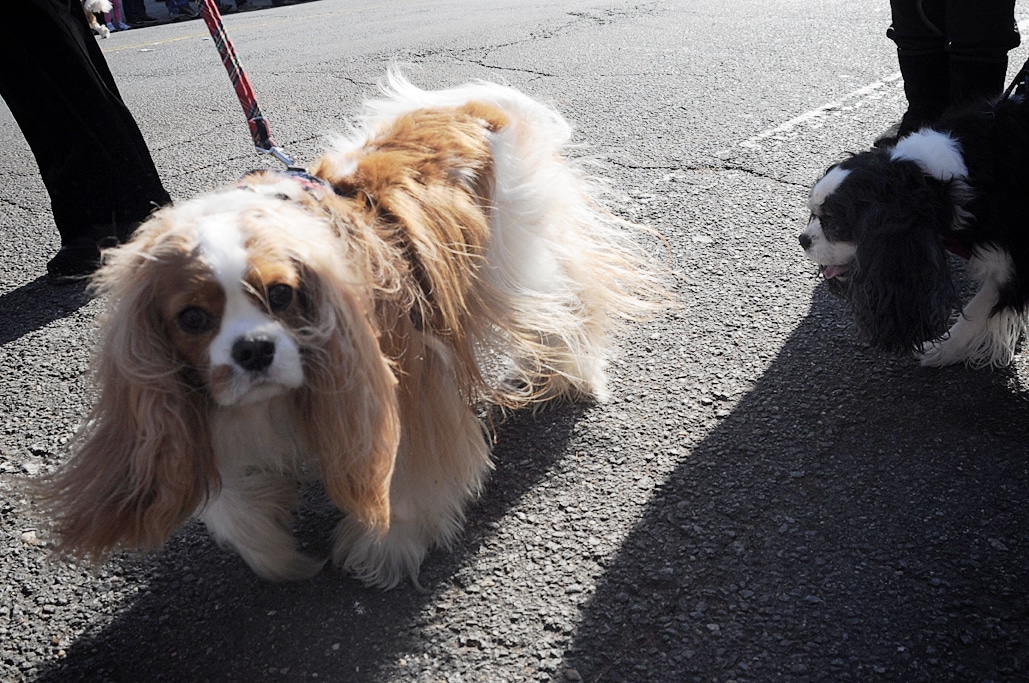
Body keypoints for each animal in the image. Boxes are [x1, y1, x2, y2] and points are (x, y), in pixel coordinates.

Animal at [32, 72, 666, 588]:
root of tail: (468, 108)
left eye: (281, 295)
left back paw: (570, 373)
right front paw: (280, 558)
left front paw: (382, 550)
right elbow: (233, 505)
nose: (253, 350)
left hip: (516, 259)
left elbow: (408, 475)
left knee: (568, 305)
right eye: (192, 318)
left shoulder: (403, 376)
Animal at [802, 94, 1029, 368]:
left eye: (833, 223)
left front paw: (940, 350)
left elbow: (975, 313)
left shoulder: (1014, 269)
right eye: (815, 215)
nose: (803, 239)